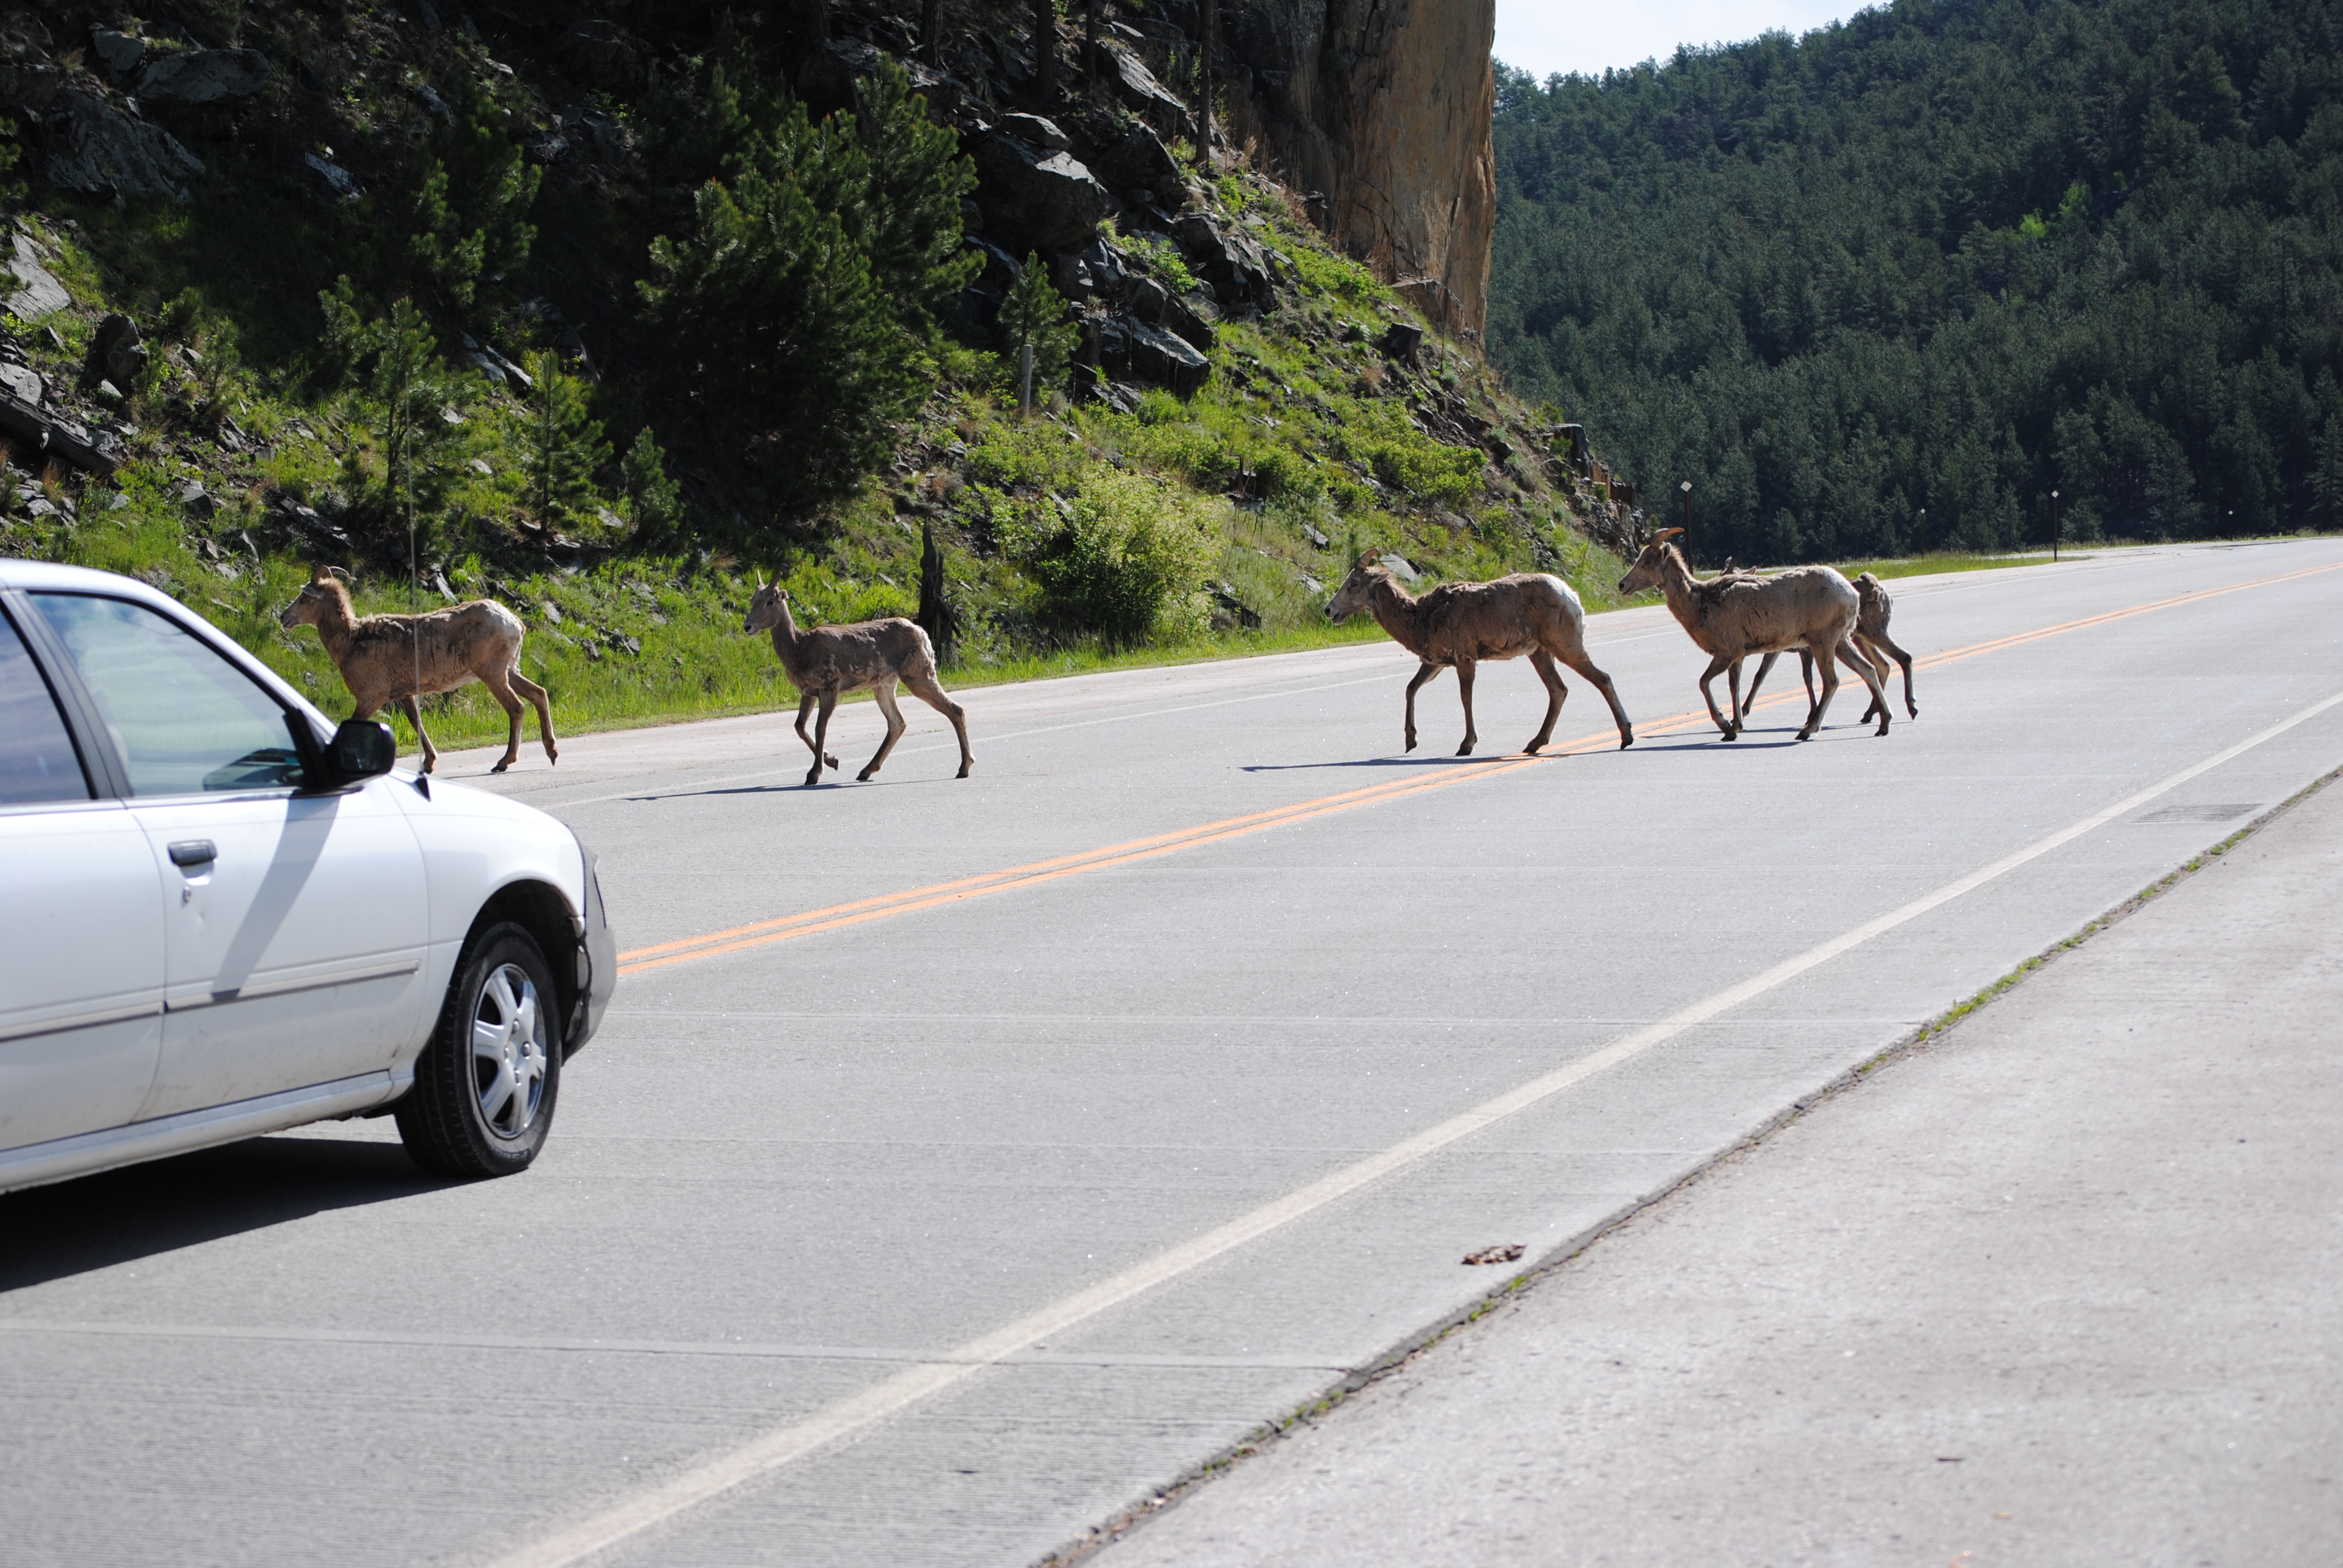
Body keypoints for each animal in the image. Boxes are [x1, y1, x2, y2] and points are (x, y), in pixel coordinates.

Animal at [280, 564, 557, 774]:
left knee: (517, 707)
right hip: (510, 670)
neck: (351, 641)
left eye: (305, 597)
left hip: (493, 673)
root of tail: (516, 623)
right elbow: (416, 722)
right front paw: (428, 764)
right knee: (539, 694)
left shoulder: (372, 697)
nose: (284, 617)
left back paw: (504, 763)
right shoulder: (404, 694)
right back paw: (552, 752)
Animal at [743, 577, 973, 787]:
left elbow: (820, 728)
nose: (747, 626)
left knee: (956, 709)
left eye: (770, 602)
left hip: (918, 673)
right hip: (885, 684)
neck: (799, 649)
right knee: (898, 722)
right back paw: (866, 770)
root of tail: (924, 634)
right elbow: (800, 726)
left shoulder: (830, 685)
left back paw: (964, 768)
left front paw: (815, 773)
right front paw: (832, 760)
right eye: (753, 599)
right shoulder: (808, 691)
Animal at [1324, 550, 1635, 756]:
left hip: (1565, 645)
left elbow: (1466, 698)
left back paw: (1626, 738)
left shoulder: (1465, 659)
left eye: (1353, 584)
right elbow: (1411, 689)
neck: (1422, 617)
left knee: (1602, 679)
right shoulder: (1435, 664)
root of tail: (1572, 597)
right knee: (1559, 690)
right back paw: (1533, 744)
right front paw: (1410, 742)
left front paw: (1466, 745)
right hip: (1540, 653)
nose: (1329, 610)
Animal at [1615, 527, 1889, 741]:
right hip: (1841, 642)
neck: (1701, 602)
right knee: (1868, 670)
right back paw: (1883, 725)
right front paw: (1735, 728)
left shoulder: (1727, 652)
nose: (1622, 584)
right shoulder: (1738, 657)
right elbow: (1734, 687)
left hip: (1823, 642)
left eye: (1648, 561)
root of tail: (1852, 594)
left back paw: (1807, 730)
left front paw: (1725, 726)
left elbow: (1704, 683)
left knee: (1833, 681)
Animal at [1734, 570, 1917, 726]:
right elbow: (1805, 678)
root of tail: (1882, 590)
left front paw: (1744, 710)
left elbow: (1763, 675)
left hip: (1874, 630)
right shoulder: (1800, 649)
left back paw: (1911, 707)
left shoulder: (1786, 648)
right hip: (1859, 638)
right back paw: (1871, 713)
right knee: (1882, 665)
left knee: (1903, 657)